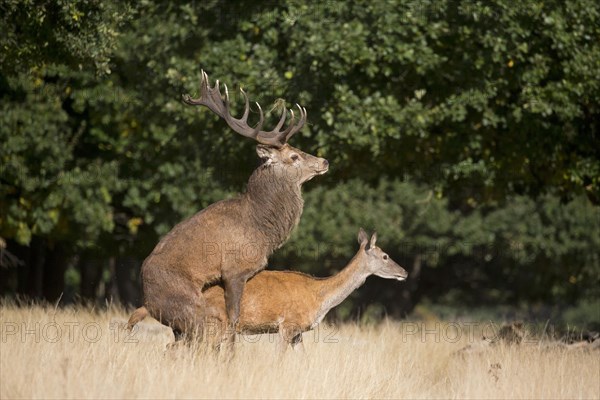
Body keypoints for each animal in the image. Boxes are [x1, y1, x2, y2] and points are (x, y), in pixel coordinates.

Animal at [128, 72, 330, 346]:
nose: (324, 161)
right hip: (188, 306)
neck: (261, 227)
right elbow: (234, 320)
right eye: (294, 157)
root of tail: (148, 299)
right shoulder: (234, 269)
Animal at [130, 228, 408, 350]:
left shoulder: (298, 332)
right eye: (385, 256)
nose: (404, 272)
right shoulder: (287, 325)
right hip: (209, 324)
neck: (319, 298)